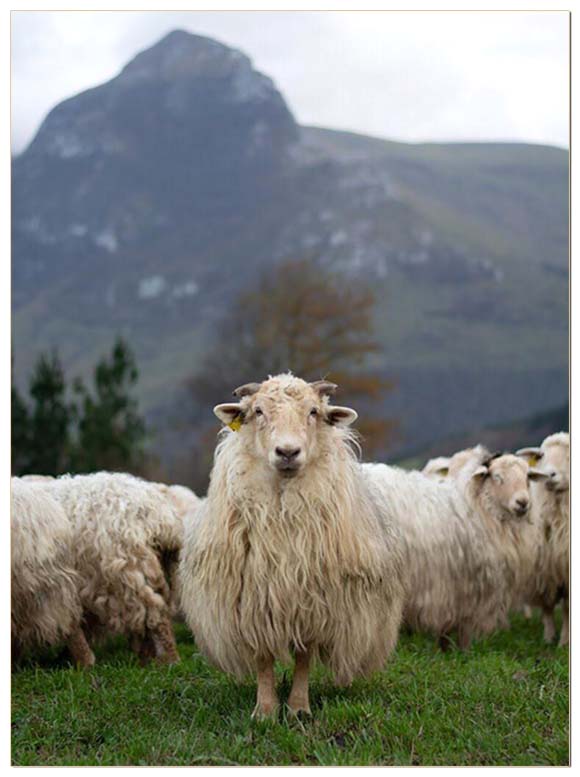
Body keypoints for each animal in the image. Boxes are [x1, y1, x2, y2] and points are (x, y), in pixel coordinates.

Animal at [179, 372, 406, 720]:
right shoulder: (255, 600)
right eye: (258, 411)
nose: (287, 452)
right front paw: (265, 711)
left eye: (313, 411)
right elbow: (263, 659)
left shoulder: (313, 602)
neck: (283, 511)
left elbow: (303, 658)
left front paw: (298, 708)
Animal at [362, 448, 548, 648]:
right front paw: (463, 649)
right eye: (497, 476)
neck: (478, 507)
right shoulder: (471, 589)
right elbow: (464, 628)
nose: (523, 503)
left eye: (527, 476)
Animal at [516, 434, 572, 644]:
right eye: (542, 455)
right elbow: (547, 605)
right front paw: (548, 637)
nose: (549, 474)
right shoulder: (542, 568)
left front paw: (564, 641)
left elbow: (566, 608)